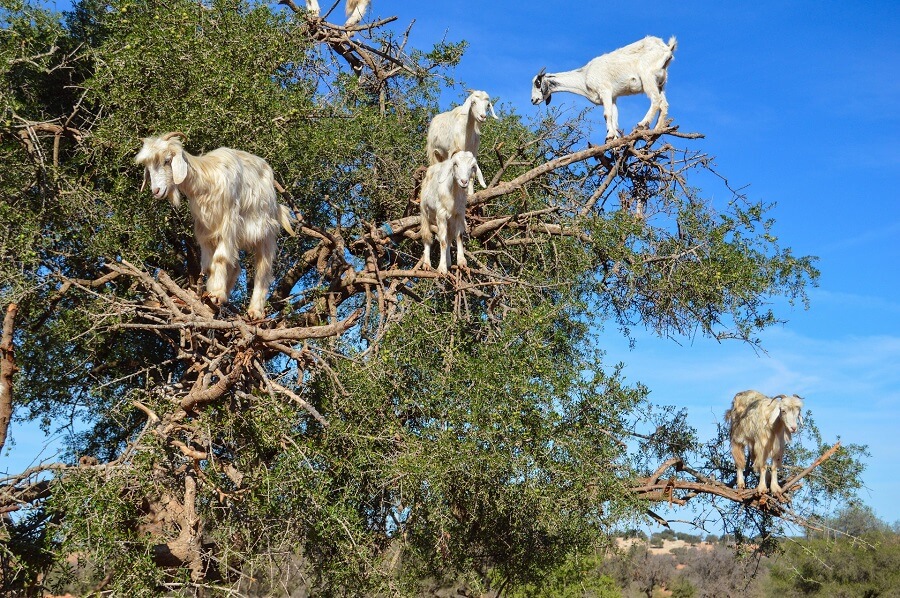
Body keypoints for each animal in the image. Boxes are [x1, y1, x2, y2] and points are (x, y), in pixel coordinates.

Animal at [135, 132, 296, 320]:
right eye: (148, 167)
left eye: (167, 160)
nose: (156, 191)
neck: (207, 179)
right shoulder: (204, 230)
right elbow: (209, 265)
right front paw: (210, 298)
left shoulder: (228, 223)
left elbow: (220, 258)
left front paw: (216, 294)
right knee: (236, 266)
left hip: (266, 233)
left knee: (263, 270)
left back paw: (255, 311)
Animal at [531, 36, 677, 140]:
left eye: (537, 83)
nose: (533, 100)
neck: (584, 76)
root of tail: (667, 49)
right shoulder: (613, 97)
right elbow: (614, 116)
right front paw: (615, 138)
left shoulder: (605, 90)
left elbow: (607, 114)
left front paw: (609, 136)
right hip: (660, 83)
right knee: (664, 104)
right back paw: (656, 130)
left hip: (647, 76)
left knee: (656, 100)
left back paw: (643, 123)